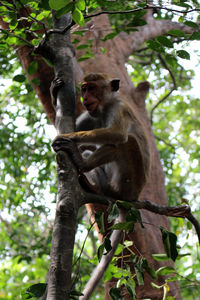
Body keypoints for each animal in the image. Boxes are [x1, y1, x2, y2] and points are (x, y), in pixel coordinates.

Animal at [51, 73, 150, 300]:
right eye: (84, 88)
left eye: (92, 88)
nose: (85, 97)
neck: (104, 107)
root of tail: (132, 198)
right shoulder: (90, 114)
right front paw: (53, 92)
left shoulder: (118, 108)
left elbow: (116, 134)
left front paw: (69, 137)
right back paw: (89, 181)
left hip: (128, 181)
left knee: (126, 141)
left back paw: (80, 161)